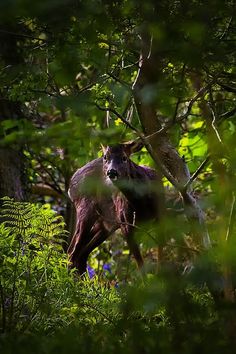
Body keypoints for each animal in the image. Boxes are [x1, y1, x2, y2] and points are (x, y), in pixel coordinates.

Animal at [67, 142, 164, 276]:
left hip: (105, 223)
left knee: (80, 254)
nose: (111, 171)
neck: (141, 202)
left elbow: (160, 255)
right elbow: (140, 265)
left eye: (124, 157)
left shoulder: (162, 216)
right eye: (105, 157)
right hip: (85, 209)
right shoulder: (125, 223)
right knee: (73, 253)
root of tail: (71, 183)